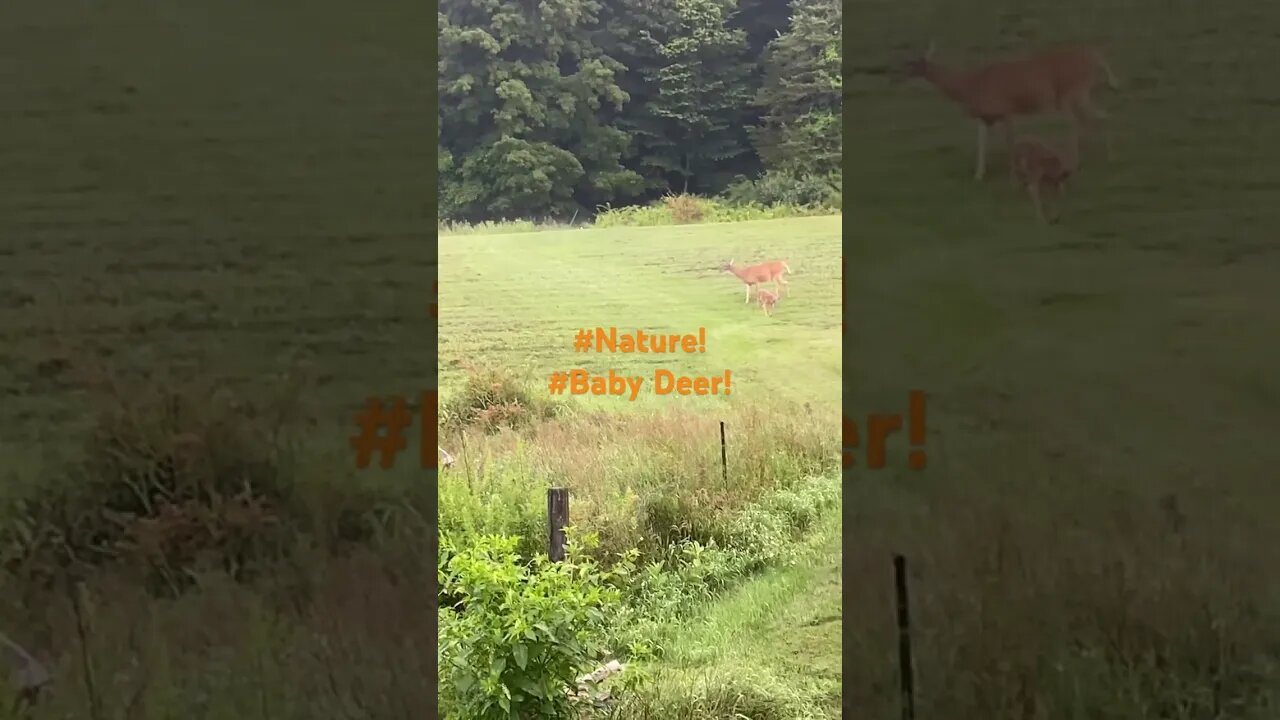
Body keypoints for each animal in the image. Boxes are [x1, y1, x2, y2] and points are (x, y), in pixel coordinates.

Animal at [903, 41, 1119, 181]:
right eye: (906, 65)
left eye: (912, 66)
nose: (898, 77)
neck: (970, 85)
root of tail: (1095, 58)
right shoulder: (987, 117)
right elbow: (982, 144)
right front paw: (979, 175)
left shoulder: (1006, 110)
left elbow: (1009, 142)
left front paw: (1015, 173)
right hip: (1077, 94)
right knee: (1096, 116)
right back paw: (1092, 160)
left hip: (1073, 92)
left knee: (1083, 121)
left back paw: (1079, 163)